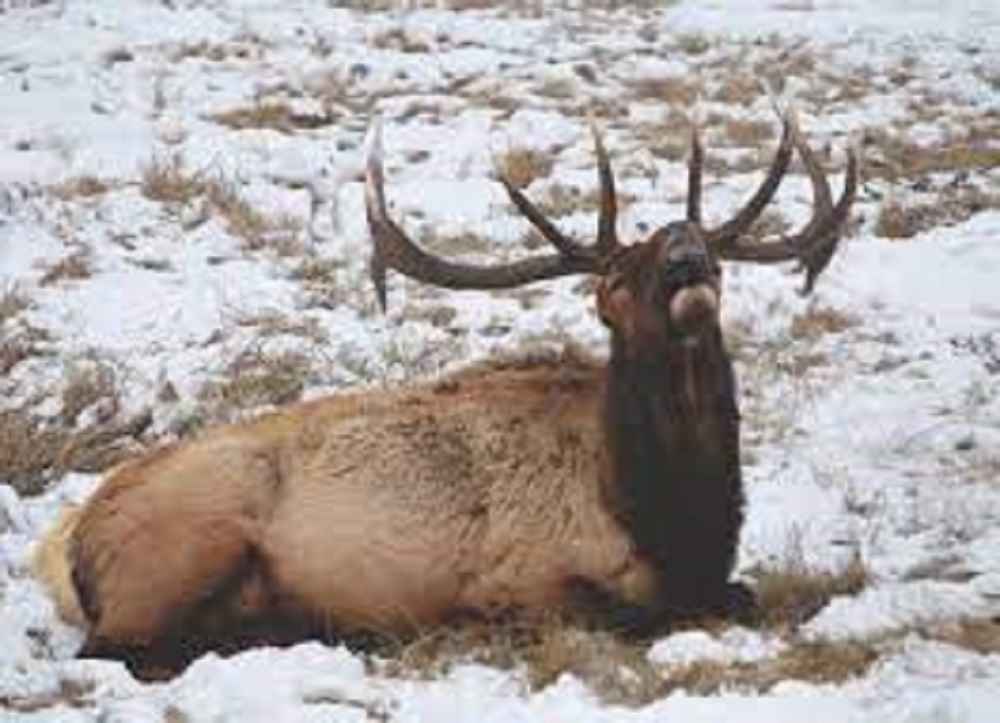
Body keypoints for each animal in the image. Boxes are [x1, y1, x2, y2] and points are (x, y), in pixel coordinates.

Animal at [34, 106, 857, 679]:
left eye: (708, 246)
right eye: (617, 281)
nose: (688, 255)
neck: (668, 512)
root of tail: (71, 541)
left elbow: (742, 594)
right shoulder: (522, 579)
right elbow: (625, 612)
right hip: (189, 537)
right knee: (109, 649)